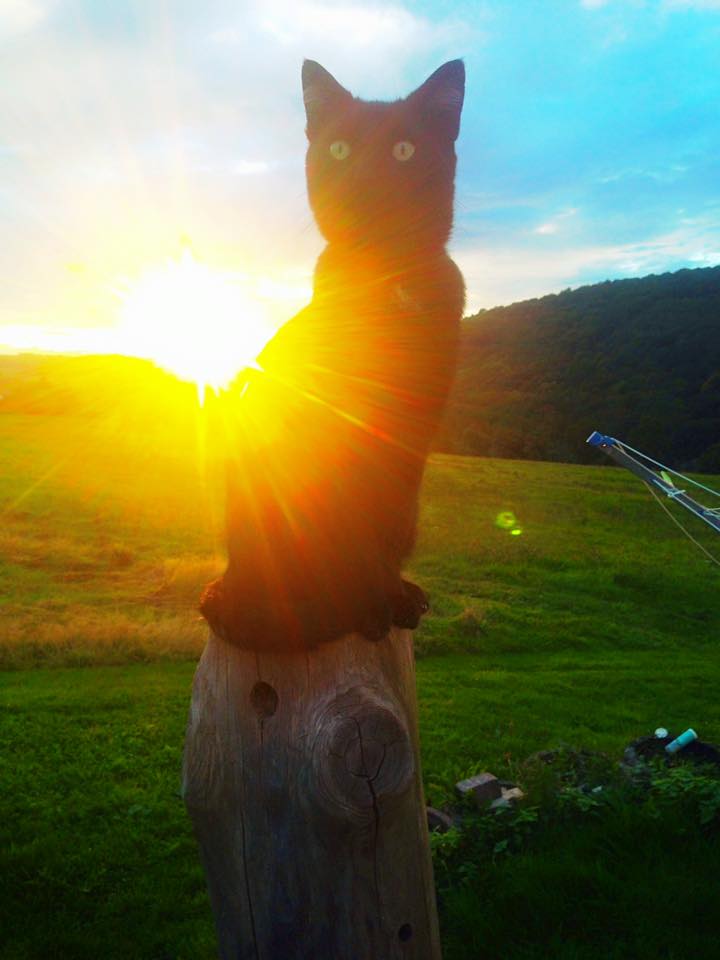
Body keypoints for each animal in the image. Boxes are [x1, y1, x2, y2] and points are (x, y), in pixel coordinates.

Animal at [200, 58, 466, 652]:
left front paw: (389, 597)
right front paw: (368, 607)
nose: (363, 178)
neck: (385, 284)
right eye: (340, 149)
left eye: (404, 150)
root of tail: (229, 582)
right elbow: (357, 535)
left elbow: (380, 533)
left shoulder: (411, 438)